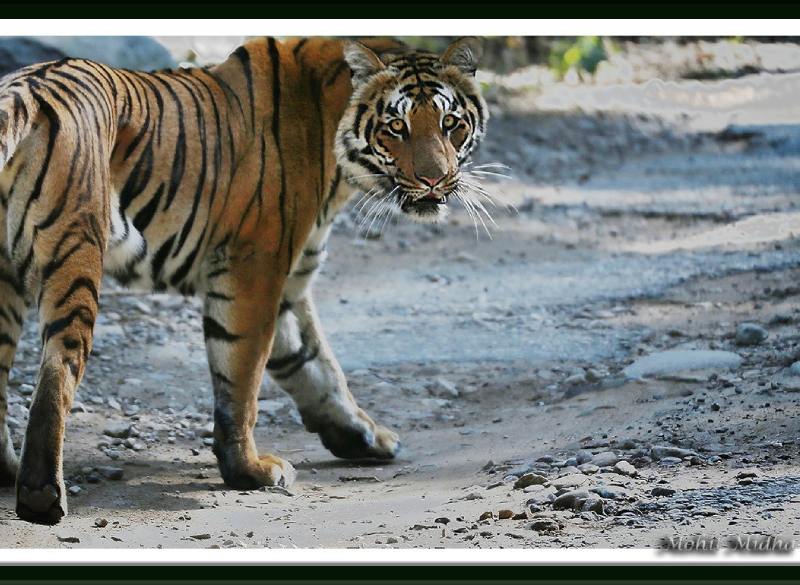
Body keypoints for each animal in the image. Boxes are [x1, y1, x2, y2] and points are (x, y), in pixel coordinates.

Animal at [0, 34, 488, 524]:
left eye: (450, 123)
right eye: (396, 127)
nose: (434, 180)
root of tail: (20, 93)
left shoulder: (291, 281)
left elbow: (317, 365)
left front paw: (365, 436)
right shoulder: (255, 267)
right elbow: (243, 376)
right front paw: (250, 470)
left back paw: (6, 470)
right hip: (76, 254)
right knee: (57, 371)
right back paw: (41, 494)